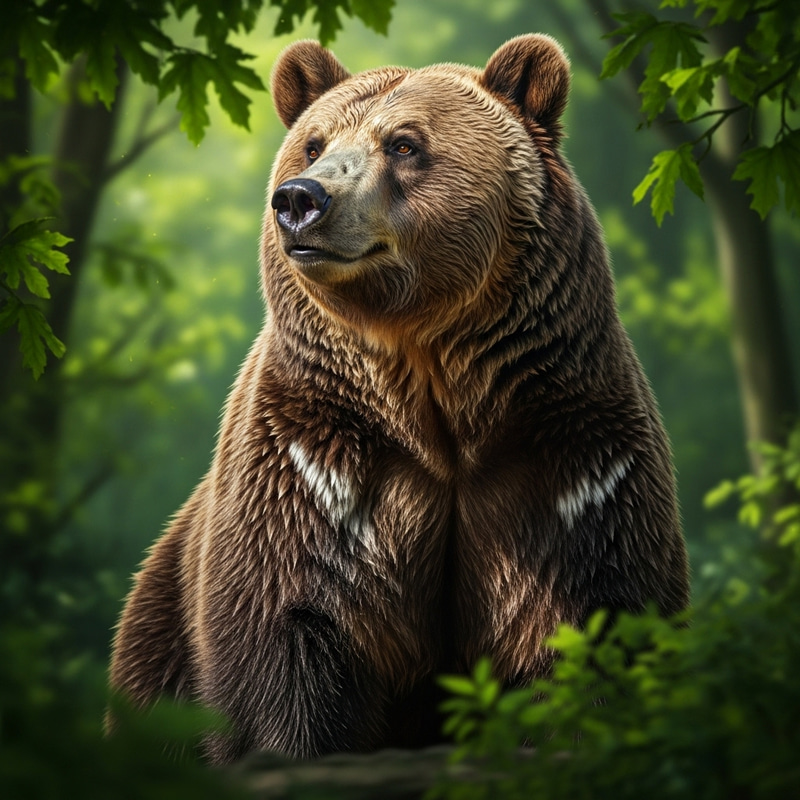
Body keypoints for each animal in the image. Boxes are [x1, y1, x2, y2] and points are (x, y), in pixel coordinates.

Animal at [109, 34, 690, 764]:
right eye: (314, 143)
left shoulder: (569, 460)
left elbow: (593, 619)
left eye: (405, 144)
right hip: (158, 636)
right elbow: (291, 635)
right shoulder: (317, 463)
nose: (301, 198)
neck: (437, 390)